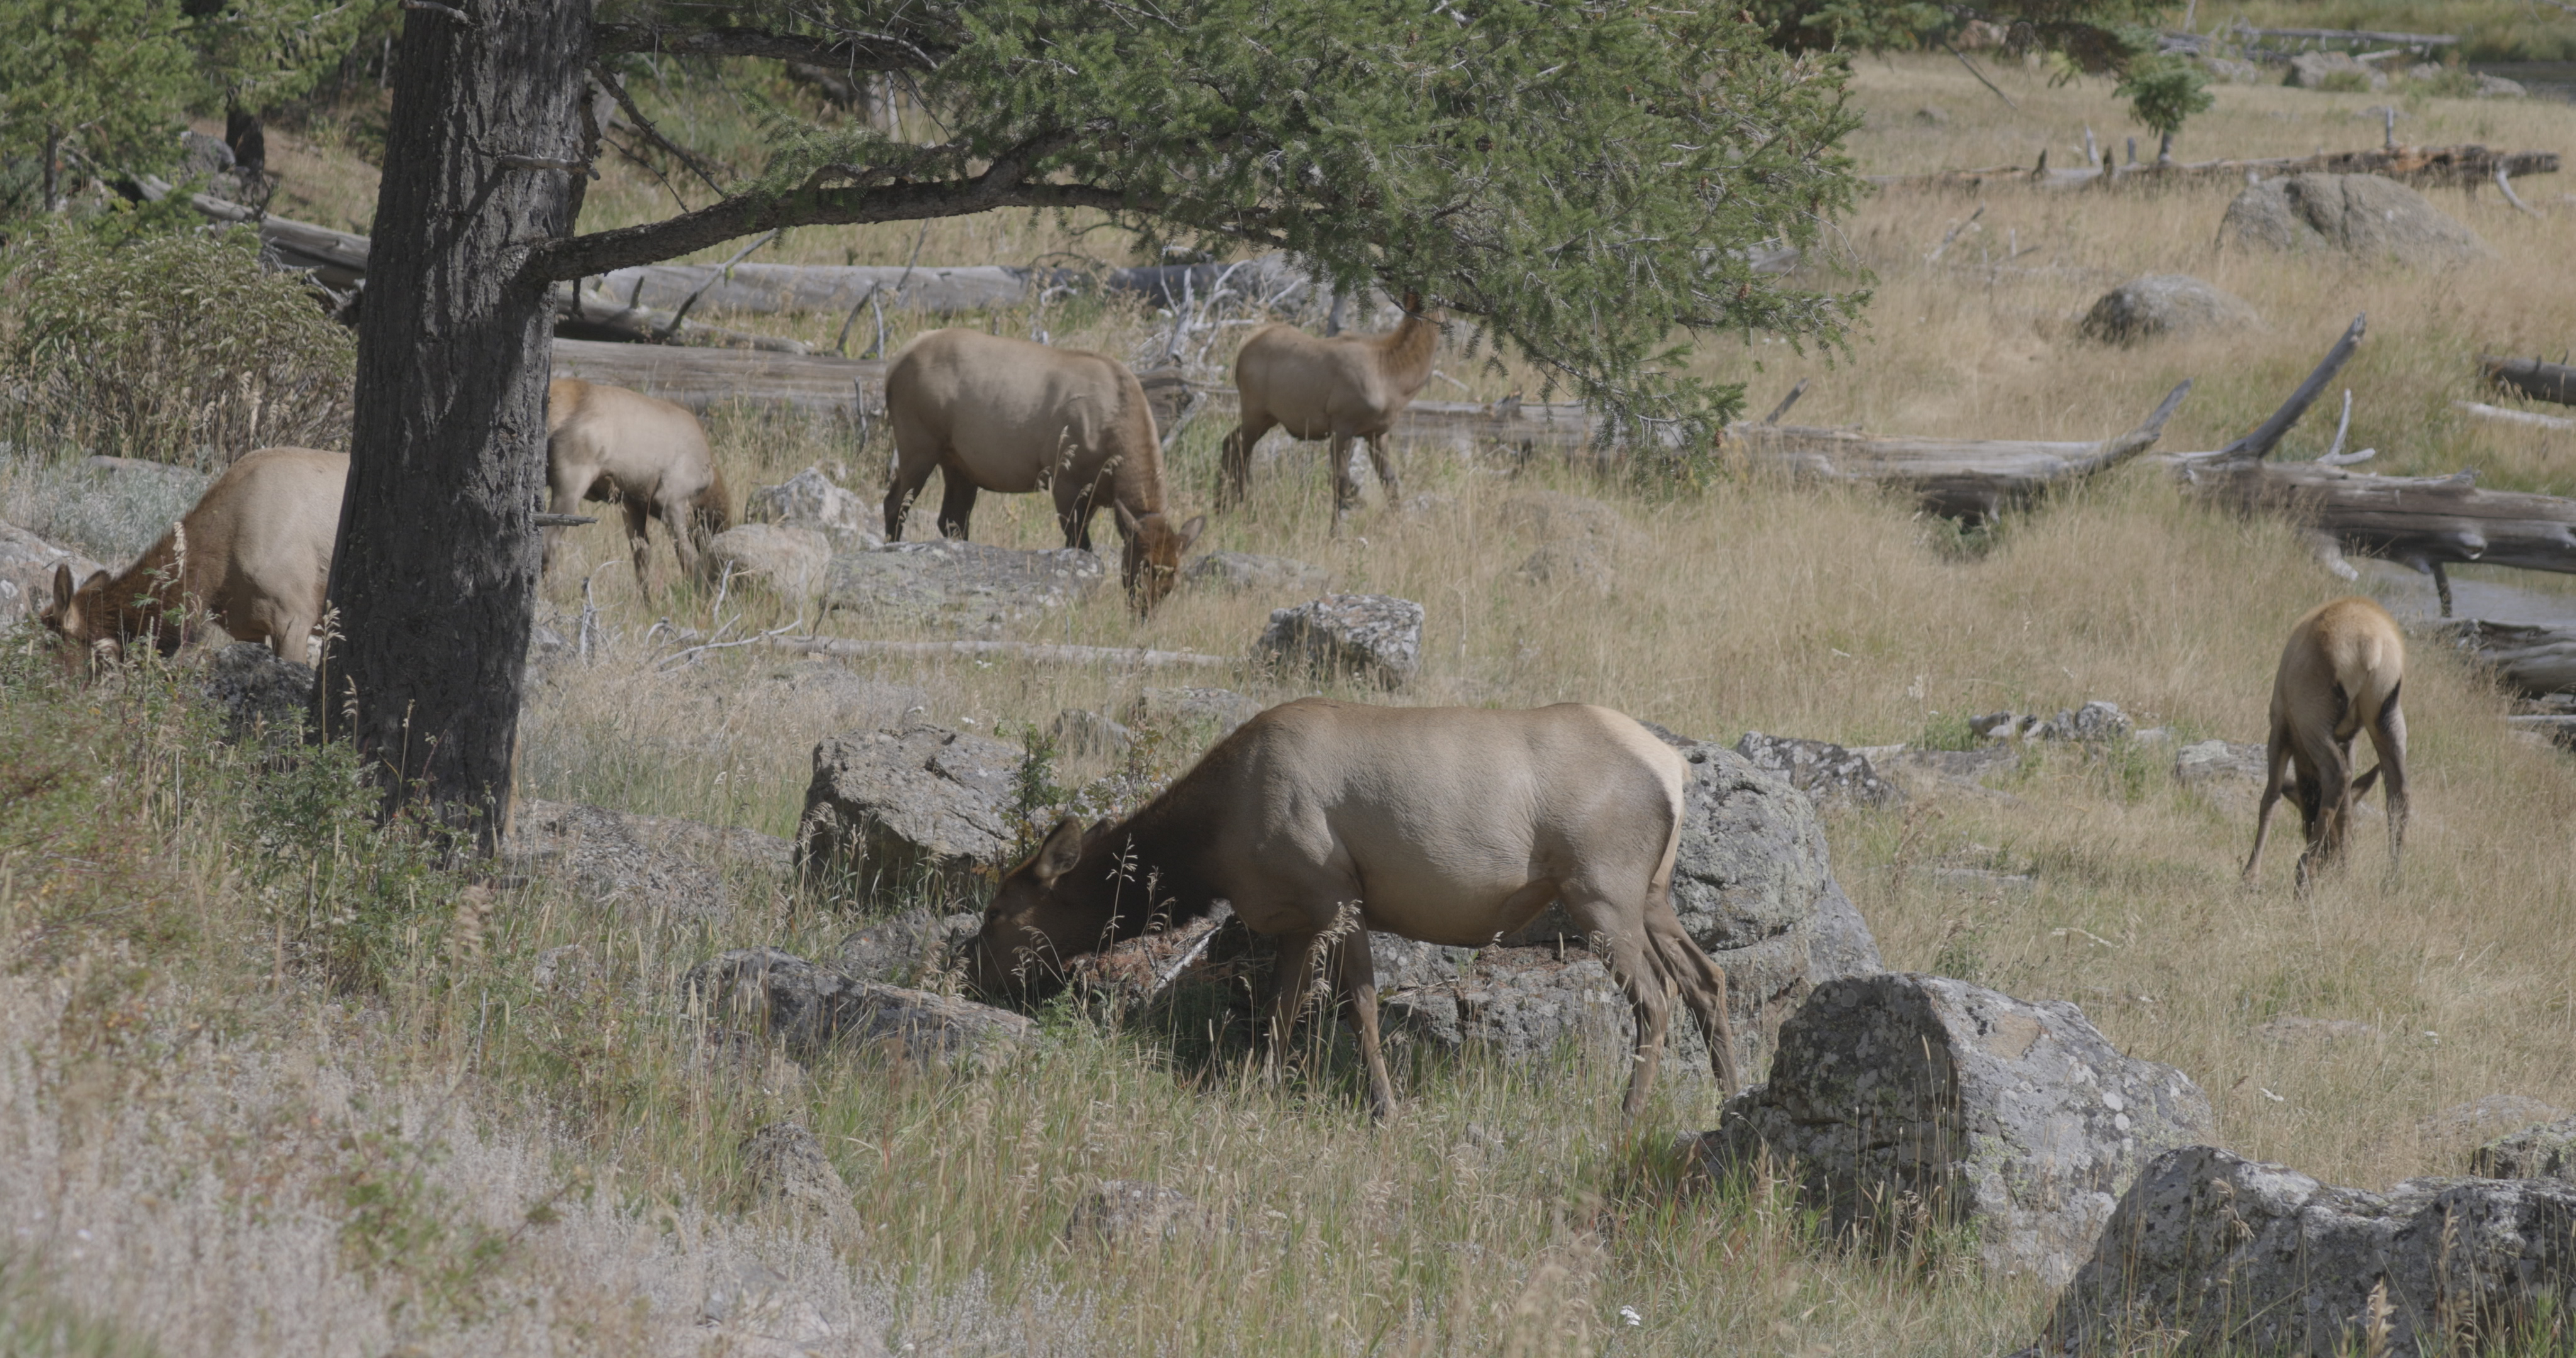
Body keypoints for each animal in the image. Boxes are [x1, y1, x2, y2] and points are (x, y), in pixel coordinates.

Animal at [544, 379, 732, 597]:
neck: (708, 486)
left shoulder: (632, 501)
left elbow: (642, 555)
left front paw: (647, 602)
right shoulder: (671, 496)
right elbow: (687, 556)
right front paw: (695, 595)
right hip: (572, 478)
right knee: (549, 539)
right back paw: (553, 595)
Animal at [882, 328, 1204, 614]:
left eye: (1173, 578)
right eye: (1141, 567)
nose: (1143, 614)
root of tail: (894, 366)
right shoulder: (1065, 482)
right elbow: (1080, 549)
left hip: (959, 463)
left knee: (951, 519)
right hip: (918, 444)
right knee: (895, 502)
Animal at [968, 698, 1741, 1120]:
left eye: (998, 912)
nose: (974, 976)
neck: (1213, 844)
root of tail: (1676, 769)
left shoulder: (1335, 893)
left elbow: (1359, 1008)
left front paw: (1384, 1108)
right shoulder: (1295, 919)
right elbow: (1281, 1014)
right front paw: (1259, 1090)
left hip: (1599, 890)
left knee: (1655, 996)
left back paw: (1628, 1113)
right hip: (1651, 894)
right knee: (1708, 979)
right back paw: (1729, 1097)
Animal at [1219, 290, 1439, 533]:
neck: (1395, 379)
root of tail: (1240, 355)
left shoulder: (1377, 433)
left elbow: (1390, 481)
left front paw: (1399, 528)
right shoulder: (1342, 426)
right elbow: (1341, 482)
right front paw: (1335, 534)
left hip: (1267, 418)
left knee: (1230, 442)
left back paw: (1222, 506)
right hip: (1253, 411)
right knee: (1240, 453)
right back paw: (1236, 508)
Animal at [2243, 596, 2410, 890]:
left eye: (2304, 823)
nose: (2330, 863)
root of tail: (2372, 647)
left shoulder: (2281, 726)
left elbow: (2270, 797)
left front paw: (2250, 875)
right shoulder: (2349, 739)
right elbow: (2347, 808)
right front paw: (2346, 871)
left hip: (2314, 721)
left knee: (2338, 775)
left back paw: (2303, 873)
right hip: (2387, 719)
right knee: (2399, 792)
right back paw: (2392, 881)